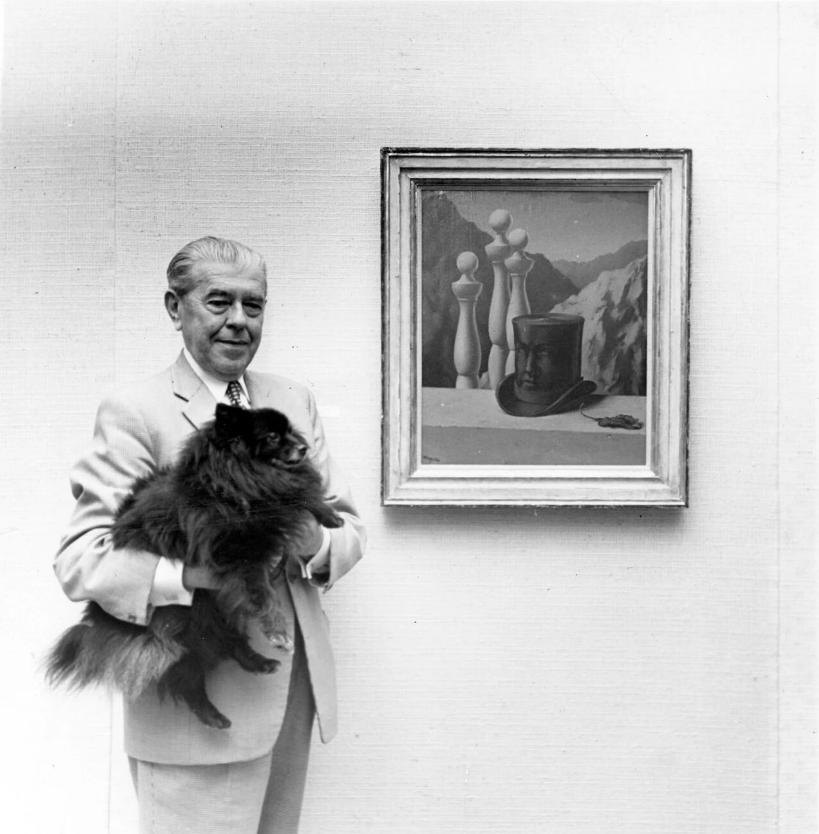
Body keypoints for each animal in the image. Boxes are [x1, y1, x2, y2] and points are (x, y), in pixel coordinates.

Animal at [46, 403, 342, 730]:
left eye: (291, 431)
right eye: (273, 437)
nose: (304, 447)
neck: (239, 479)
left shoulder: (279, 495)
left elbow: (302, 493)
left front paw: (330, 517)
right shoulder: (241, 552)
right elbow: (262, 594)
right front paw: (278, 632)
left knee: (227, 641)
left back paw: (256, 663)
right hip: (182, 624)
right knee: (188, 672)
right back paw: (212, 713)